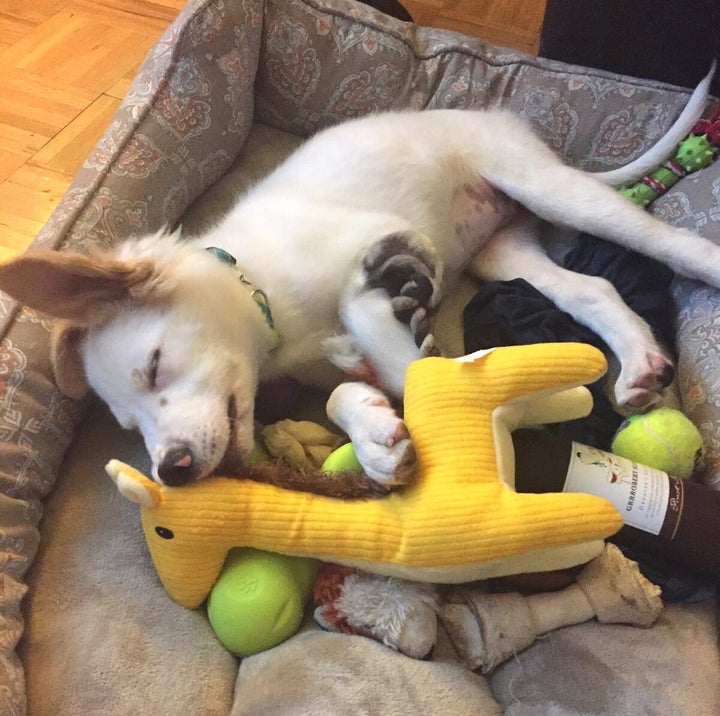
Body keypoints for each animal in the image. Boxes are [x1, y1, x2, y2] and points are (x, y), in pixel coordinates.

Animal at [0, 71, 716, 486]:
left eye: (153, 366)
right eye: (129, 424)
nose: (171, 473)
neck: (267, 303)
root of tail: (494, 116)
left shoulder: (374, 246)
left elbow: (404, 354)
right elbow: (356, 390)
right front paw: (374, 435)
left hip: (542, 185)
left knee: (669, 243)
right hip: (500, 252)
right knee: (590, 289)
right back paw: (640, 366)